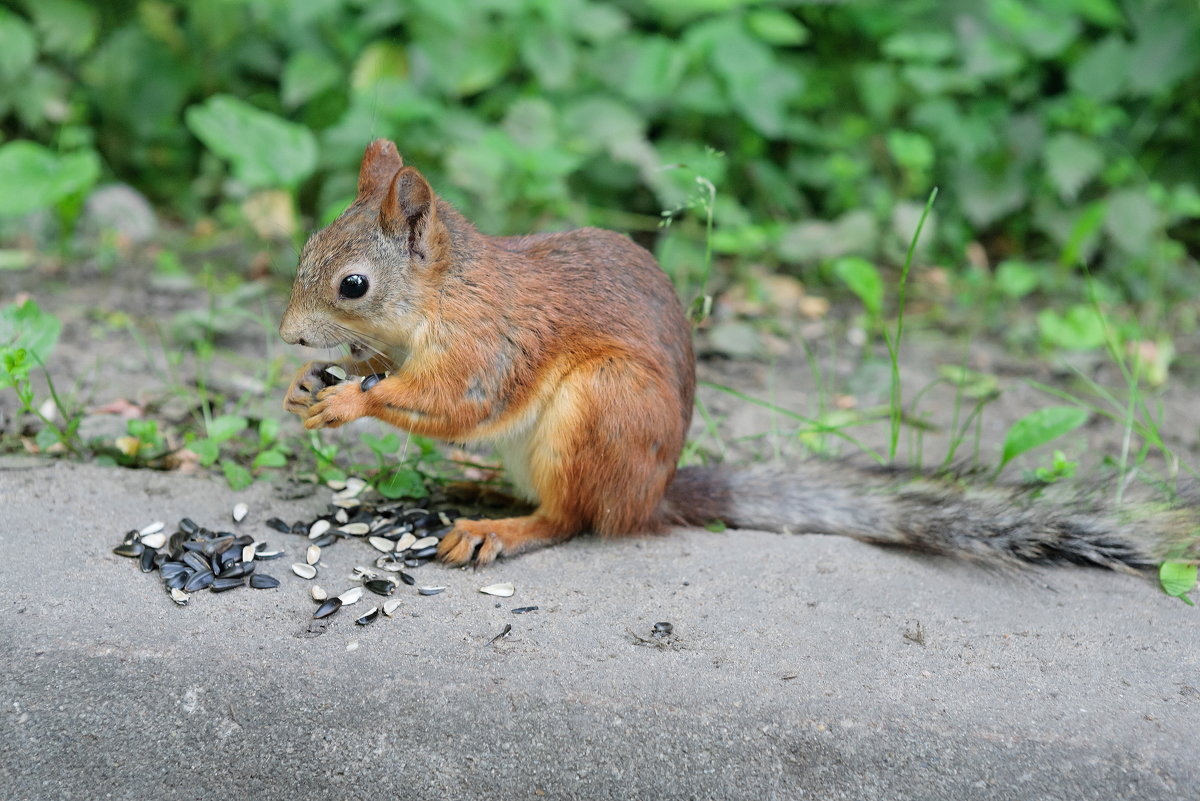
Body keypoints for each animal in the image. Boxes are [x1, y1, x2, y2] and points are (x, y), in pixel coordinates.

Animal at [276, 140, 1195, 573]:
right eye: (310, 245)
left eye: (353, 284)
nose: (287, 335)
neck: (443, 295)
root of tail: (654, 492)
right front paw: (310, 384)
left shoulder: (486, 345)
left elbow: (450, 399)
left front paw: (350, 399)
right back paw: (479, 485)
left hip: (602, 410)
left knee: (575, 518)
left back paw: (499, 526)